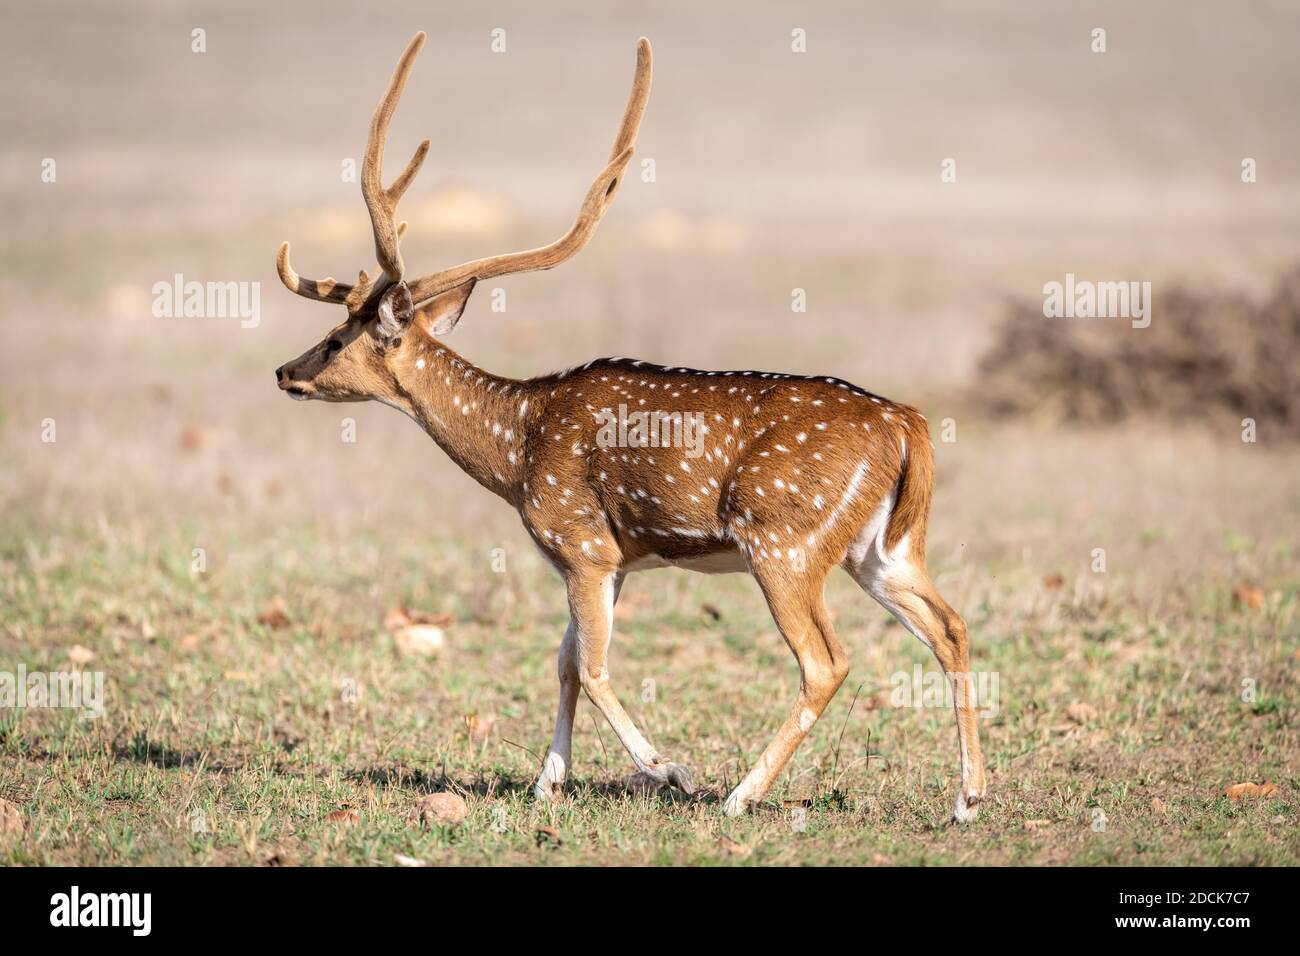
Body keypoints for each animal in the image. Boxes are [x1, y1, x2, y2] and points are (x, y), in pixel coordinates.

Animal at [273, 32, 986, 822]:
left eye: (337, 338)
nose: (285, 372)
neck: (516, 452)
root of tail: (909, 427)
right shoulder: (607, 558)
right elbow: (563, 659)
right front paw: (547, 781)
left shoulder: (581, 540)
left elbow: (590, 666)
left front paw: (667, 768)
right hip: (882, 547)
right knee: (951, 625)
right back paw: (968, 796)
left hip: (785, 541)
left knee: (827, 660)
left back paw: (739, 794)